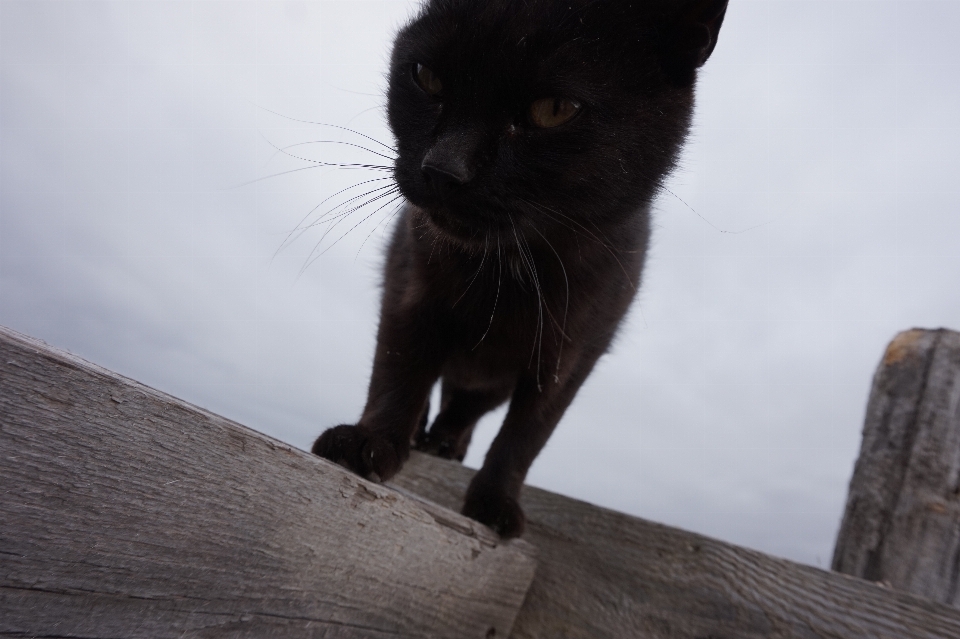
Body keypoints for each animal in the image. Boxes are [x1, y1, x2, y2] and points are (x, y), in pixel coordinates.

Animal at [316, 0, 728, 540]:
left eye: (553, 109)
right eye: (427, 77)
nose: (442, 169)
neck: (507, 273)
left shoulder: (574, 352)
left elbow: (527, 434)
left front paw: (494, 503)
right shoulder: (410, 285)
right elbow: (399, 367)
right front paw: (370, 442)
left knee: (470, 404)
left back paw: (445, 442)